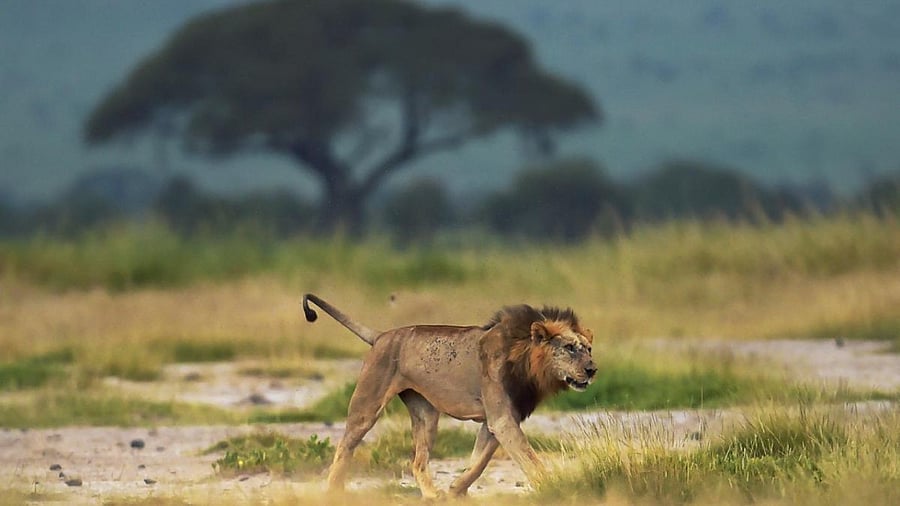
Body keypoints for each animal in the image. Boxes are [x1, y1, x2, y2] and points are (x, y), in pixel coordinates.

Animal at [301, 293, 597, 498]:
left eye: (589, 349)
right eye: (570, 348)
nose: (592, 369)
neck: (527, 362)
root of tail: (382, 335)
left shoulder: (498, 420)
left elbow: (478, 462)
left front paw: (455, 490)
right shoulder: (501, 419)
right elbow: (529, 458)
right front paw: (554, 486)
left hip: (426, 415)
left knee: (417, 462)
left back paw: (432, 495)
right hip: (367, 403)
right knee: (344, 447)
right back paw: (333, 491)